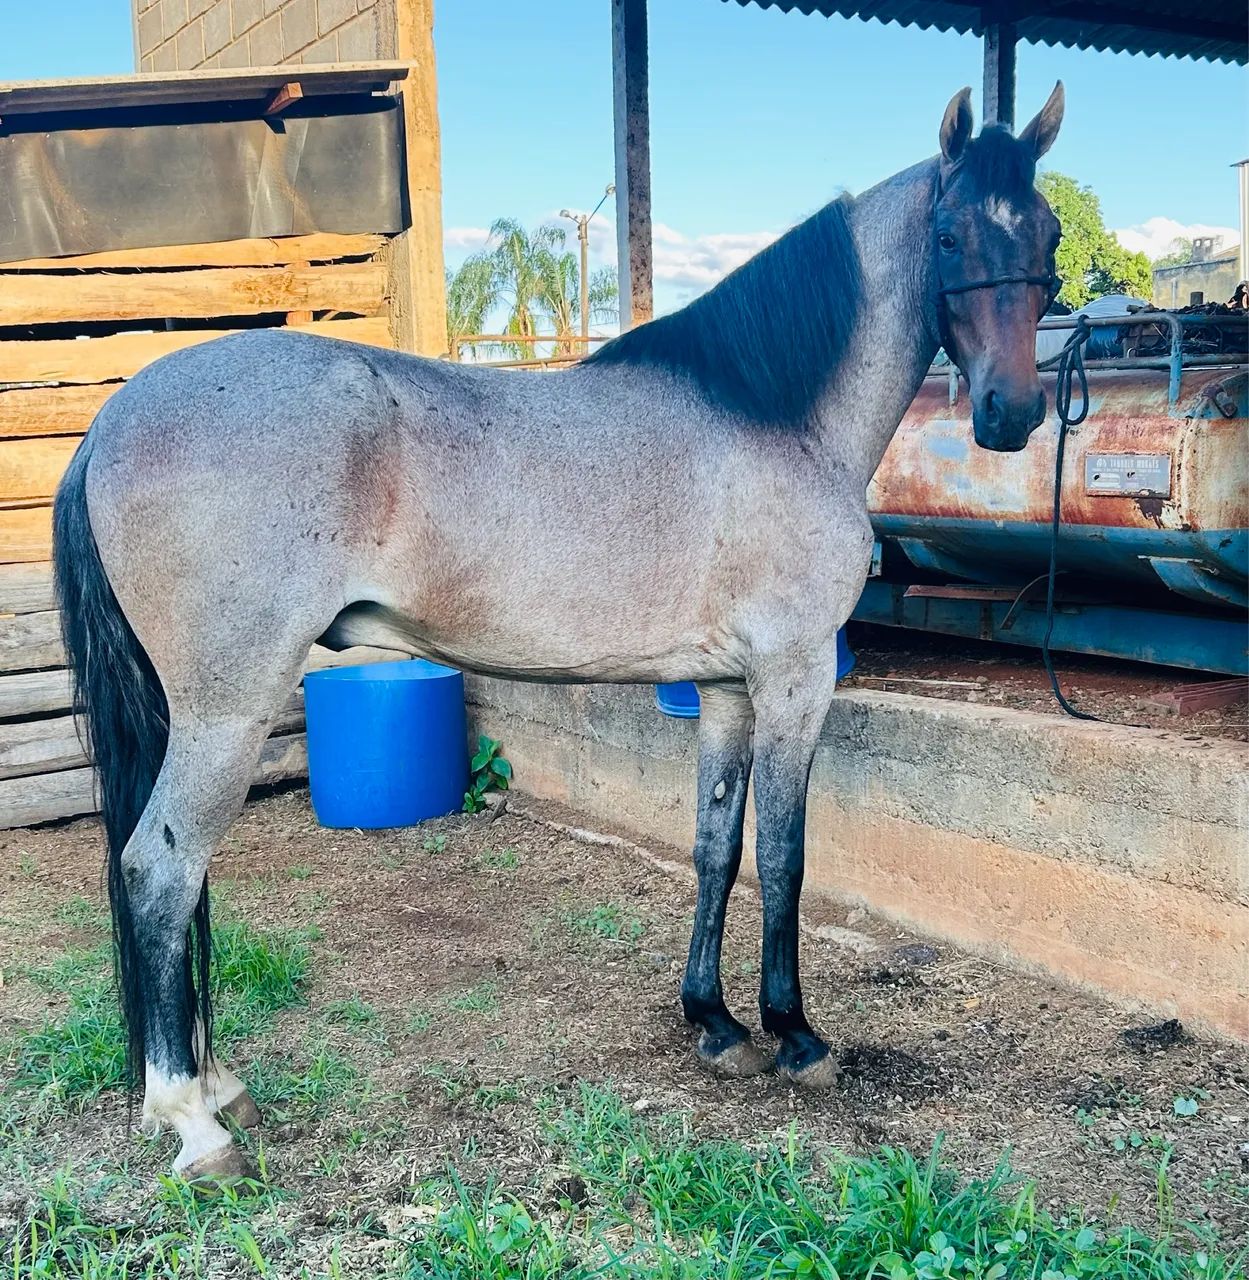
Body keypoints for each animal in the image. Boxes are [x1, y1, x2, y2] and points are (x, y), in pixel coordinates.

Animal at [52, 85, 1065, 1182]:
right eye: (950, 232)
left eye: (1046, 232)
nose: (1011, 413)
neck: (773, 419)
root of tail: (113, 419)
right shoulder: (795, 680)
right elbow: (787, 854)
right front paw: (794, 1034)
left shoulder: (726, 689)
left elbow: (717, 844)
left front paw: (713, 1022)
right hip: (225, 712)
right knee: (160, 870)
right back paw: (193, 1121)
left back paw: (210, 1085)